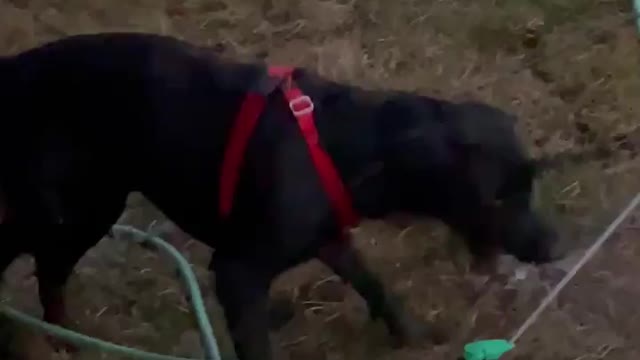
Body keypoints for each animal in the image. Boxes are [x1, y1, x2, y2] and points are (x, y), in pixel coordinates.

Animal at [0, 32, 556, 358]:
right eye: (496, 198)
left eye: (530, 184)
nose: (556, 247)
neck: (349, 142)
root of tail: (15, 68)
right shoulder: (238, 274)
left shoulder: (330, 240)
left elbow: (374, 284)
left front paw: (411, 337)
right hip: (65, 209)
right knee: (33, 263)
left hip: (88, 205)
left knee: (47, 271)